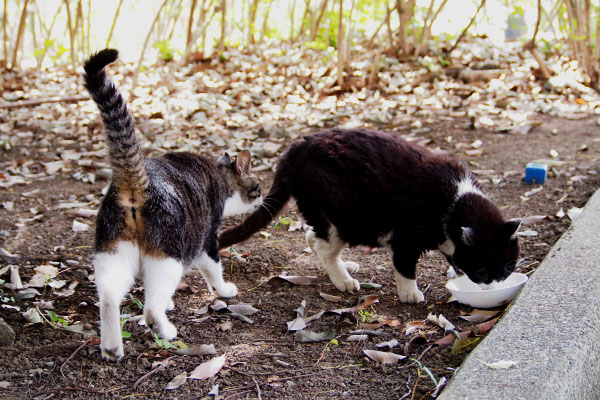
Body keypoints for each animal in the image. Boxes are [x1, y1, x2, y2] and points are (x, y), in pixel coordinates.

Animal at [83, 48, 262, 360]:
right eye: (258, 187)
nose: (263, 196)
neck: (218, 173)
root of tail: (136, 180)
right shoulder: (205, 239)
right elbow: (213, 269)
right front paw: (223, 290)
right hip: (169, 254)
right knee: (150, 308)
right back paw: (164, 329)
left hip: (113, 250)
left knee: (108, 297)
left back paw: (112, 347)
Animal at [220, 130, 520, 302]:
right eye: (482, 271)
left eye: (506, 269)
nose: (494, 286)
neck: (454, 202)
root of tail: (294, 150)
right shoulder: (405, 238)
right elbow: (405, 267)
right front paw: (410, 294)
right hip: (340, 213)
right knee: (322, 246)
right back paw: (343, 280)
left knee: (311, 237)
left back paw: (345, 267)